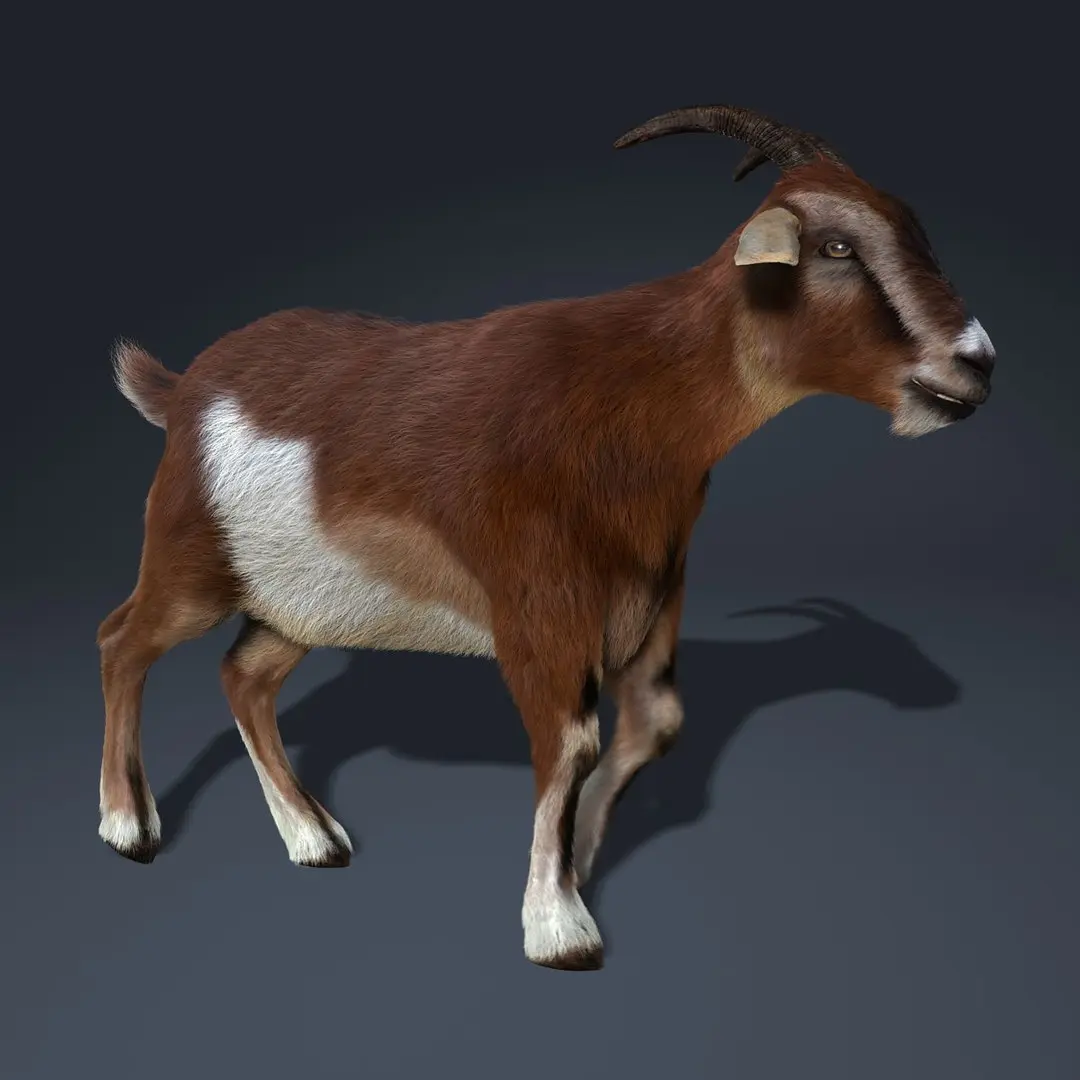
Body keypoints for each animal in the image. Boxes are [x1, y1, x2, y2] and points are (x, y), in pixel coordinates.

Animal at [98, 102, 996, 972]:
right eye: (837, 247)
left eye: (912, 232)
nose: (976, 361)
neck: (634, 397)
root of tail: (182, 389)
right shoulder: (541, 610)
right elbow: (570, 743)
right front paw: (559, 925)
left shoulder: (652, 593)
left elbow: (656, 723)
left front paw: (585, 857)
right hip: (190, 560)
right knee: (123, 640)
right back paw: (128, 826)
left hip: (301, 601)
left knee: (243, 675)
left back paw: (314, 837)